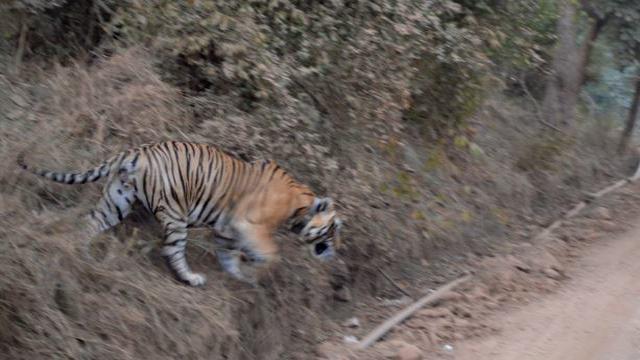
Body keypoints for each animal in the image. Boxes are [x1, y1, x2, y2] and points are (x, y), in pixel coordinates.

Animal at [17, 141, 342, 286]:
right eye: (334, 228)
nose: (334, 252)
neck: (299, 205)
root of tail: (134, 152)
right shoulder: (249, 225)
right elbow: (272, 254)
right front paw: (255, 272)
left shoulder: (226, 230)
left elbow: (229, 256)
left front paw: (239, 276)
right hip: (175, 214)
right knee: (171, 250)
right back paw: (191, 278)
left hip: (116, 202)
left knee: (90, 223)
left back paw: (79, 252)